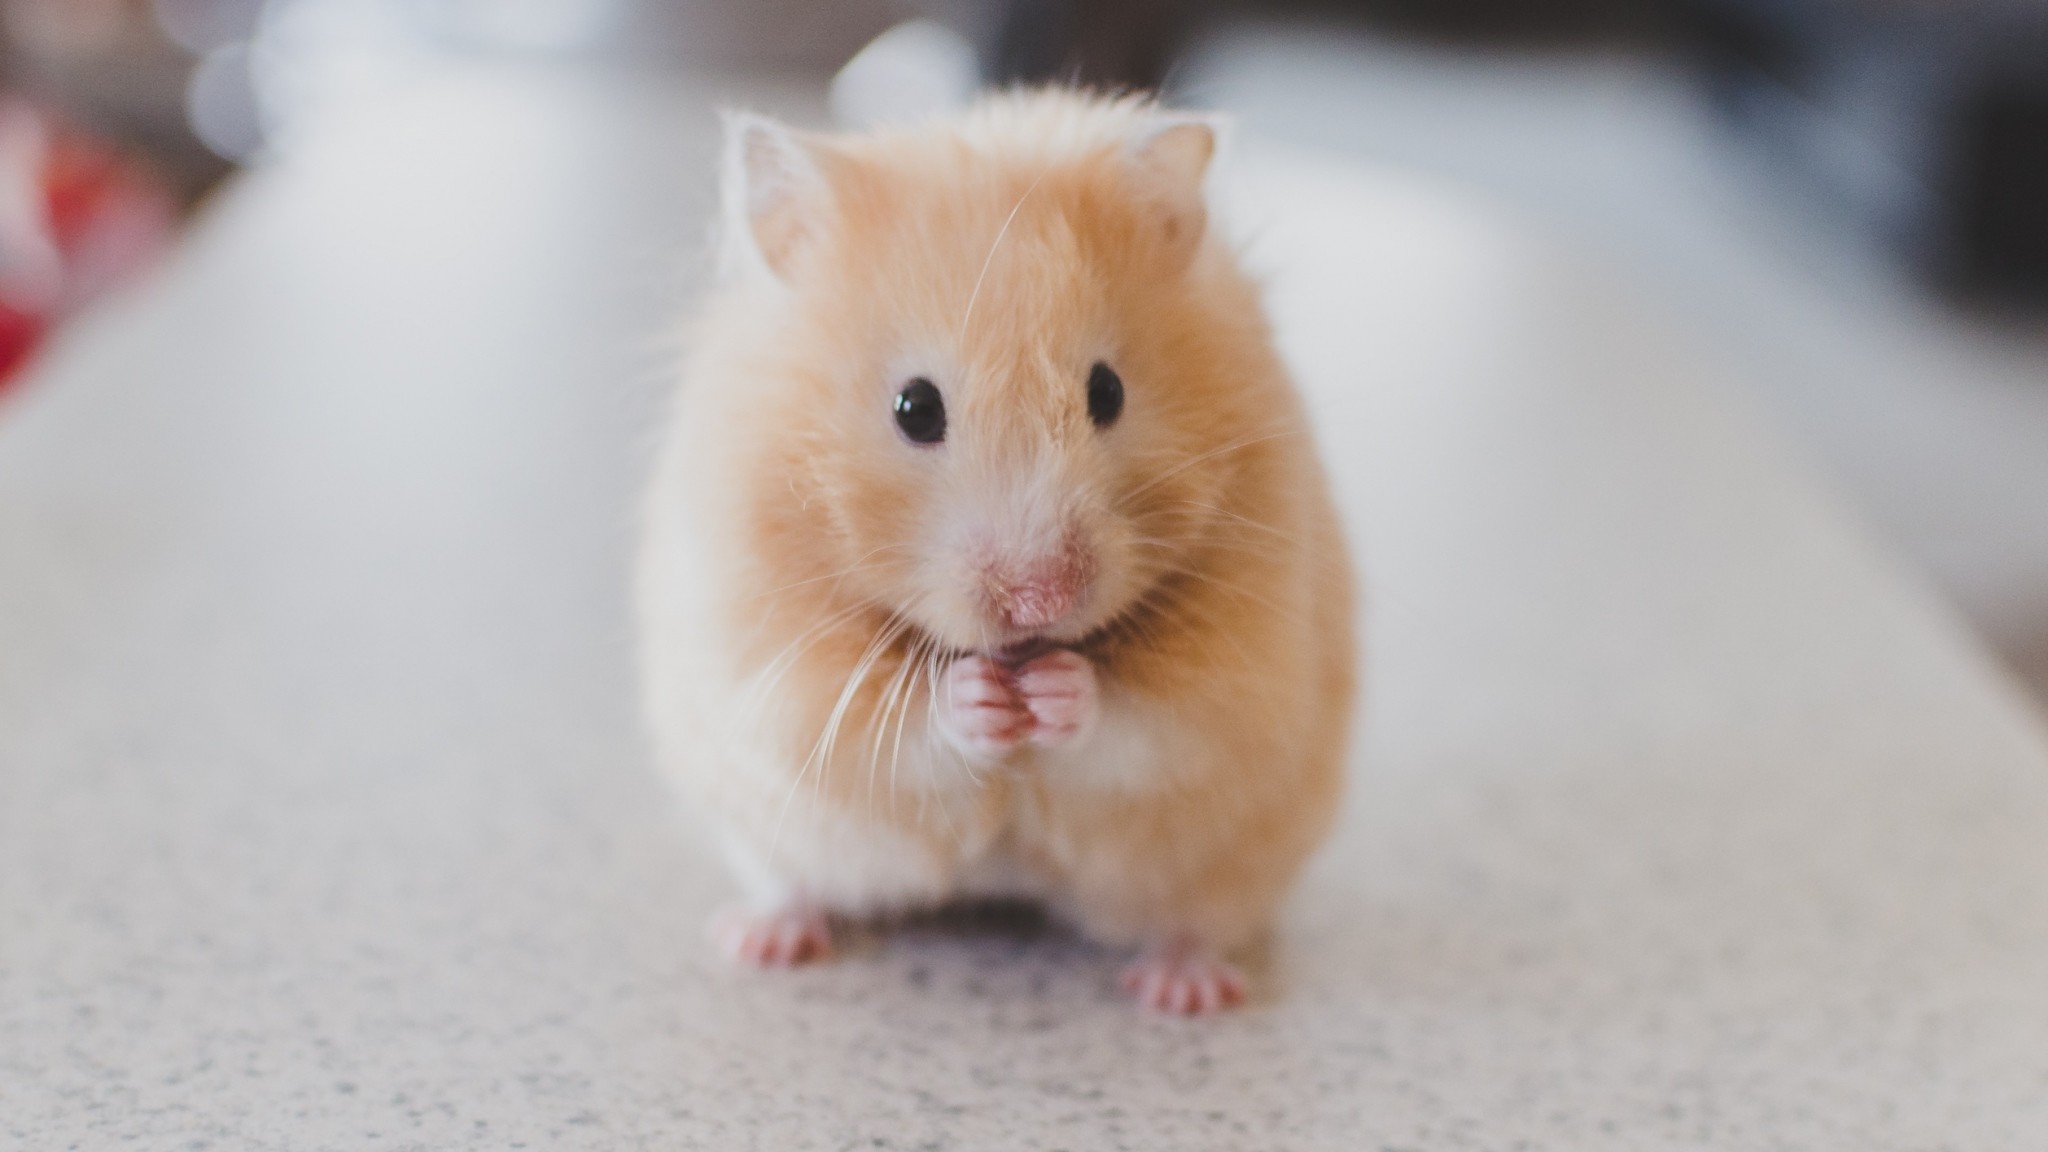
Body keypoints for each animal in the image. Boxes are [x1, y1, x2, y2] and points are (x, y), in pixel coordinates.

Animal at [637, 90, 1356, 1014]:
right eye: (914, 408)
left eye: (1107, 392)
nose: (1041, 601)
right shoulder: (773, 667)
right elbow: (896, 725)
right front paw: (980, 697)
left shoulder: (1243, 673)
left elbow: (1148, 723)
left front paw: (1055, 692)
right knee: (793, 882)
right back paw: (760, 940)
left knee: (1194, 920)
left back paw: (1183, 990)